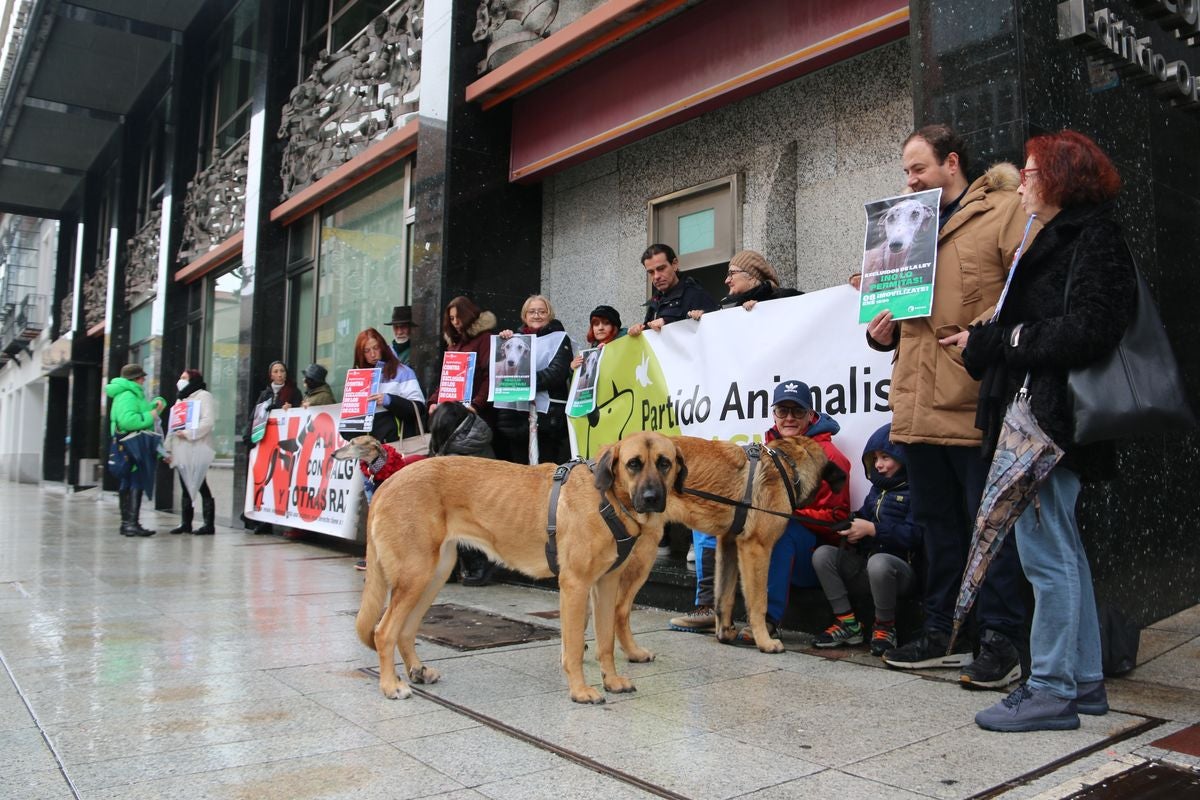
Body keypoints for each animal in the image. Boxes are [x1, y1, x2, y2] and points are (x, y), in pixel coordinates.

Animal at [338, 431, 691, 700]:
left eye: (665, 463)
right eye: (633, 464)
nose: (652, 498)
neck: (608, 499)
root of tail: (388, 482)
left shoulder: (604, 585)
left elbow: (605, 641)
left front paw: (612, 681)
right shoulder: (575, 586)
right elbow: (575, 647)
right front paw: (579, 691)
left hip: (432, 574)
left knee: (406, 630)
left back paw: (417, 671)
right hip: (416, 575)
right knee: (384, 631)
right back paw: (390, 686)